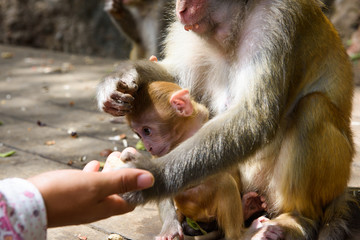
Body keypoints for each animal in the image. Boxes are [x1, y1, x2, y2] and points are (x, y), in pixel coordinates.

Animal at [124, 68, 268, 240]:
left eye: (146, 131)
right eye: (138, 134)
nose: (148, 147)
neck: (185, 135)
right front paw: (170, 227)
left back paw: (246, 210)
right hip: (196, 209)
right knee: (222, 182)